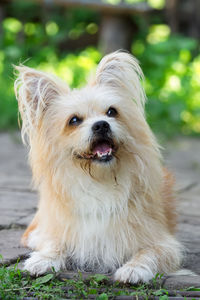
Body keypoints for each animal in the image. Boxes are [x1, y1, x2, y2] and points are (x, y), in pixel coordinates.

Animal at [14, 50, 183, 282]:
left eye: (111, 112)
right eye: (74, 120)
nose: (101, 125)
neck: (101, 180)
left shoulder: (164, 243)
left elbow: (149, 252)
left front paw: (134, 269)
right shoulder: (59, 229)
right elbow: (54, 243)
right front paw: (43, 259)